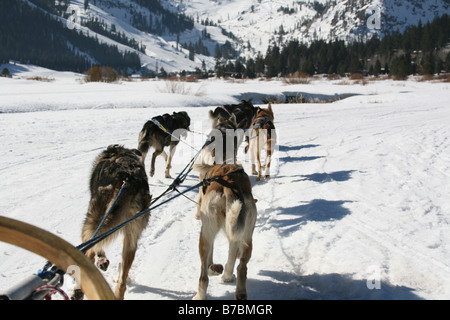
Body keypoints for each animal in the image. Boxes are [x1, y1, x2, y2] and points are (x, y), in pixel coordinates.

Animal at [72, 145, 152, 300]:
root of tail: (129, 179)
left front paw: (101, 258)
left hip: (93, 219)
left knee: (89, 249)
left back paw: (78, 289)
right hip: (131, 238)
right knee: (122, 281)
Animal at [192, 164, 256, 302]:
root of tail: (229, 183)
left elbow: (210, 259)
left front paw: (213, 268)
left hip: (205, 235)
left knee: (203, 276)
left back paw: (200, 296)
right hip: (245, 236)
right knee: (241, 267)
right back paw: (238, 289)